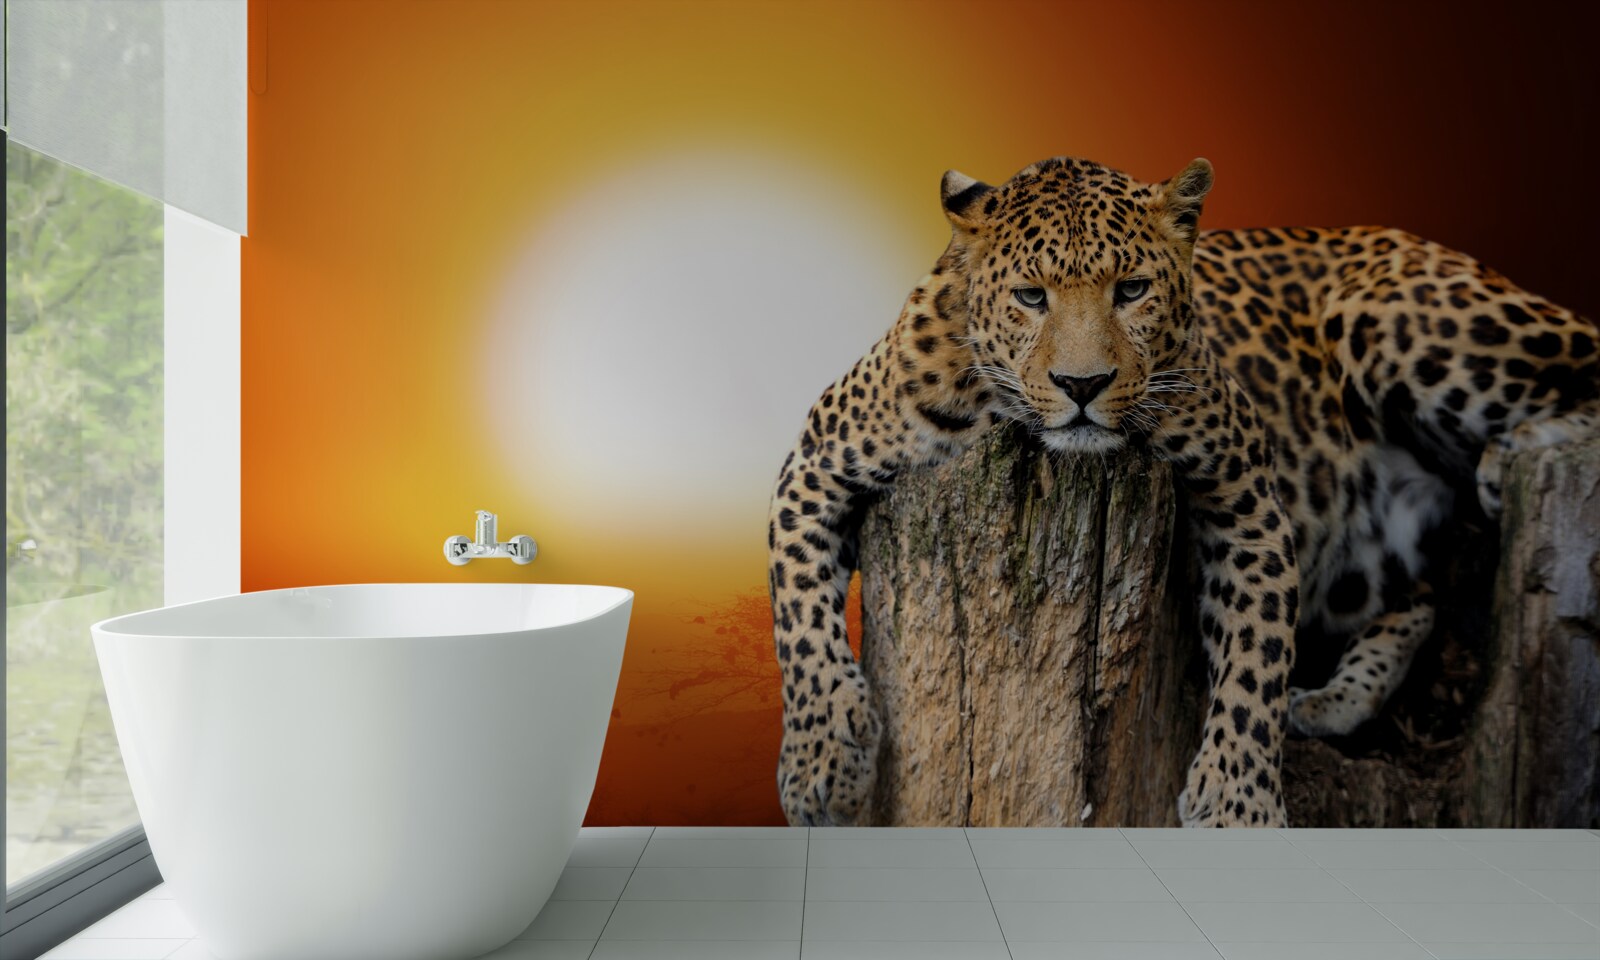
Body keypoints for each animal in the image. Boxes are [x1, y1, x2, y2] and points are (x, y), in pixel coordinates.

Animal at [768, 155, 1599, 828]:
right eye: (1031, 296)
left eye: (1132, 290)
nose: (1081, 385)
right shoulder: (814, 463)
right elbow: (798, 617)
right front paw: (820, 764)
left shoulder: (1248, 497)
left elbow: (1256, 653)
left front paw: (1238, 804)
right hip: (1366, 561)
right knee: (1418, 597)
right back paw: (1332, 700)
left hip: (1399, 318)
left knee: (1586, 361)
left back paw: (1511, 454)